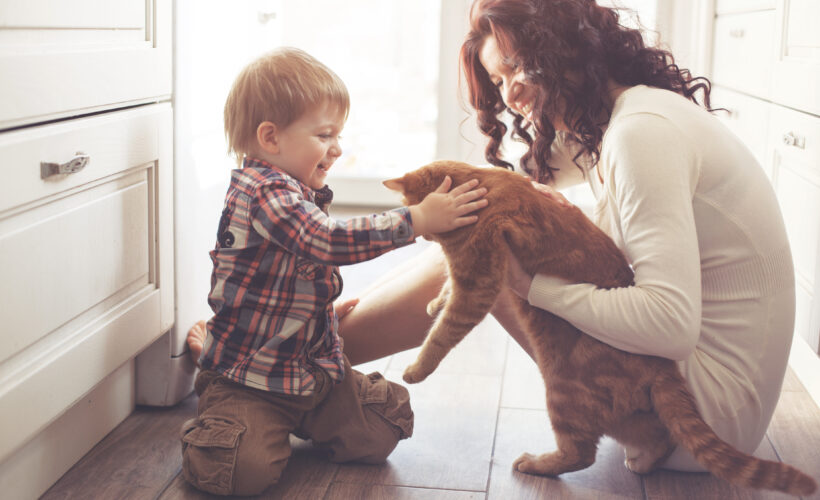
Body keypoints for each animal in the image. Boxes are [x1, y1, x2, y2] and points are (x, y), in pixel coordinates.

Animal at [386, 160, 820, 496]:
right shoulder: (469, 277)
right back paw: (644, 461)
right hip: (621, 411)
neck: (480, 183)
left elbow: (442, 334)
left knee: (580, 454)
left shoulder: (478, 284)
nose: (422, 234)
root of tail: (663, 366)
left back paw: (534, 463)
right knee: (657, 436)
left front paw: (416, 369)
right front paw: (434, 302)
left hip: (562, 391)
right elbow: (445, 292)